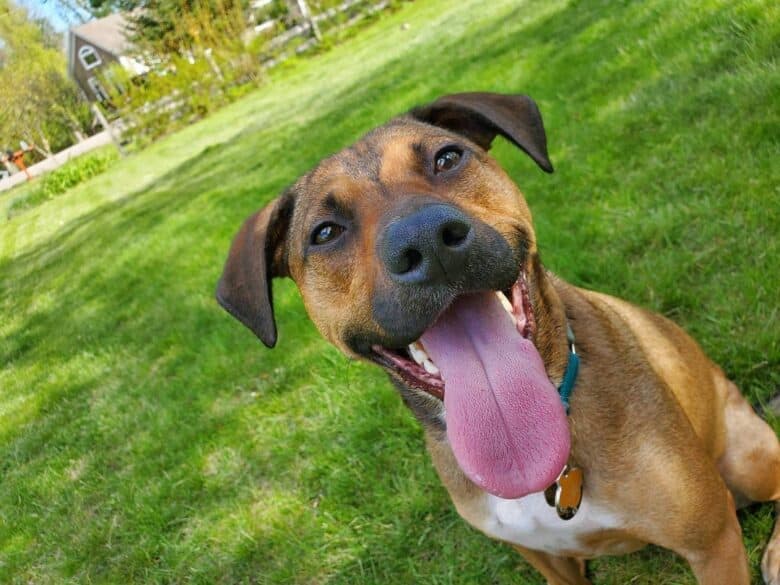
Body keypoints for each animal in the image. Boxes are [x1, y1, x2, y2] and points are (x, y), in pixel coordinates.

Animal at [216, 92, 780, 584]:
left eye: (447, 158)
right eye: (326, 232)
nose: (426, 240)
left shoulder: (712, 544)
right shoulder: (547, 561)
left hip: (748, 460)